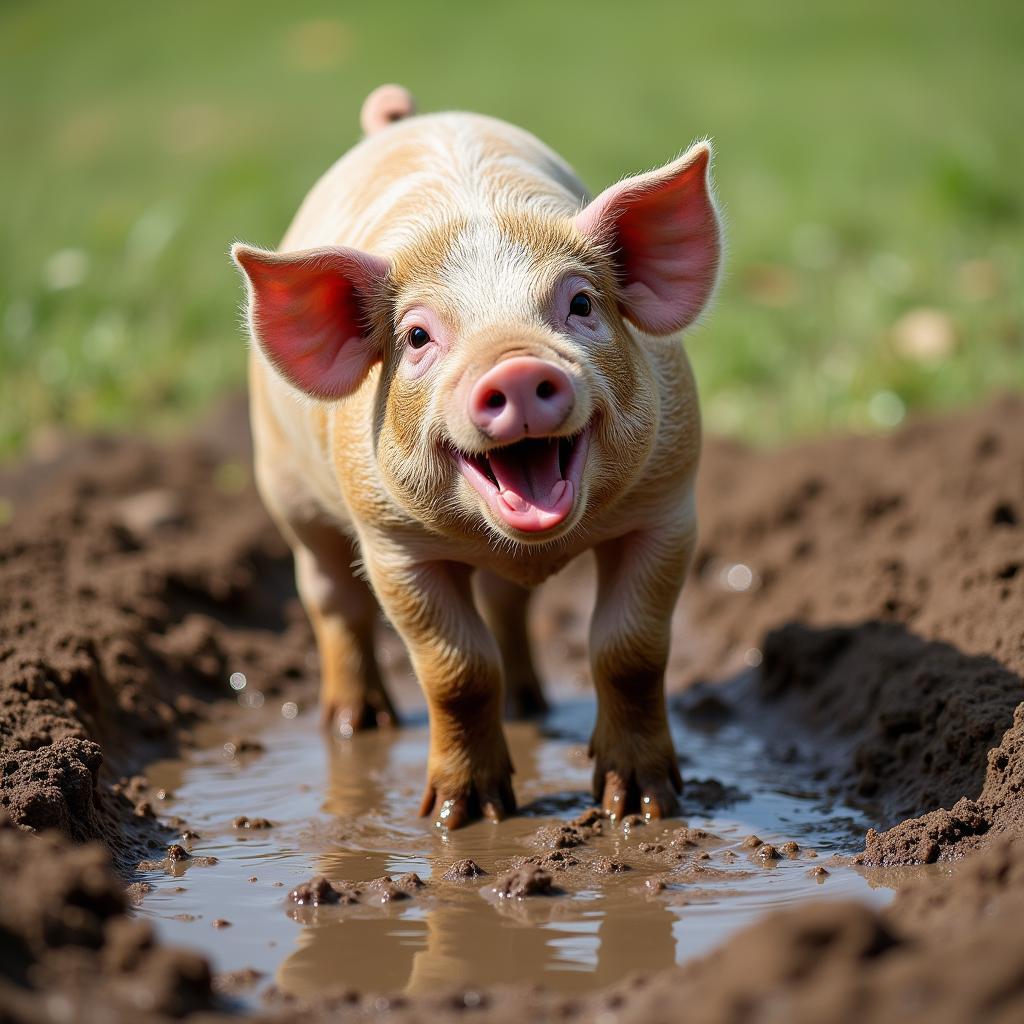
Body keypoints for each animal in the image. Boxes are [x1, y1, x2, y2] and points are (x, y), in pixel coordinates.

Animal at [231, 83, 720, 827]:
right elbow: (456, 671)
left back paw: (530, 705)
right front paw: (462, 816)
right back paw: (354, 725)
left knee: (506, 605)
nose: (516, 369)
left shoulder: (667, 505)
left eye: (581, 303)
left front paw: (638, 806)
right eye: (417, 336)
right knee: (330, 598)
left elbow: (629, 650)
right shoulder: (393, 545)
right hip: (287, 490)